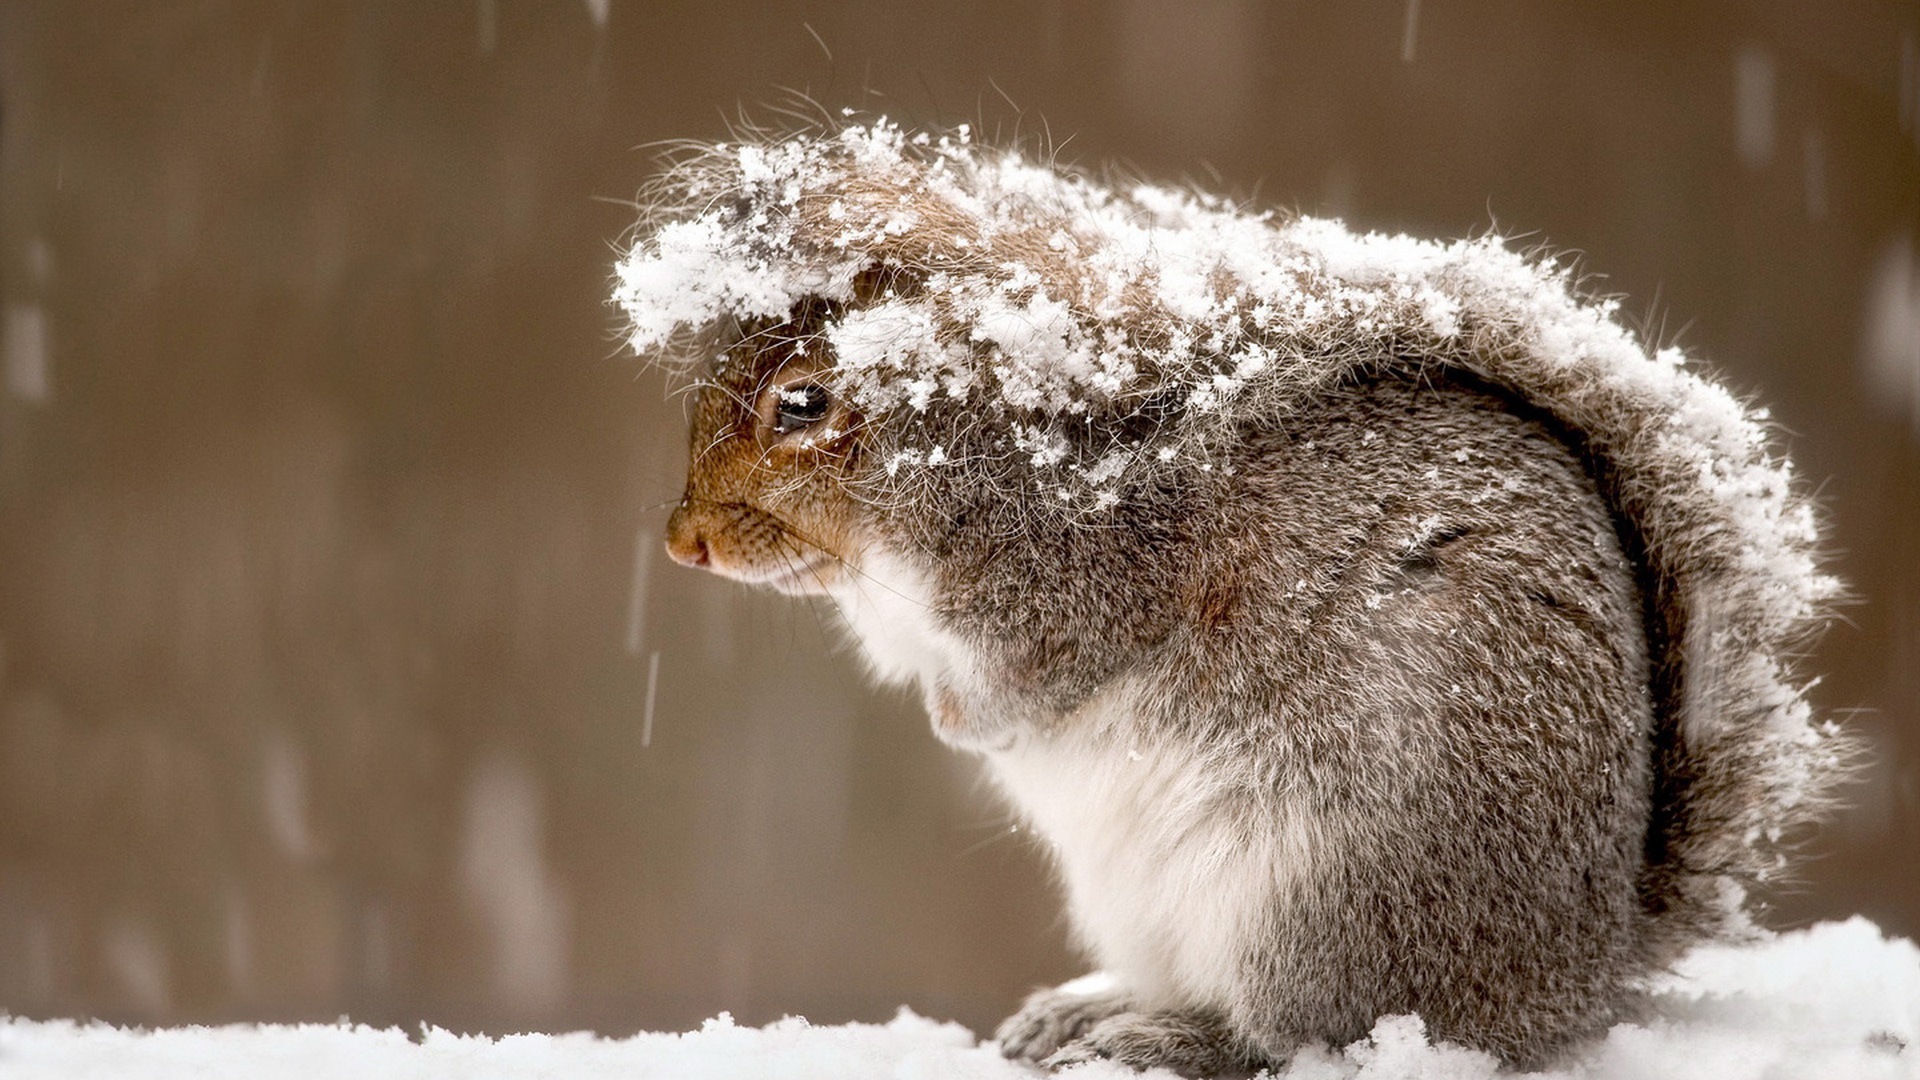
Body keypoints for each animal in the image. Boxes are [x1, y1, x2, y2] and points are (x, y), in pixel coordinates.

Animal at [610, 122, 1843, 1068]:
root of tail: (1574, 977)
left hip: (1323, 892)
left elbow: (1045, 672)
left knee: (1297, 1035)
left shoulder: (1092, 577)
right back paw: (1095, 1007)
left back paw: (1170, 1038)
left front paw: (971, 725)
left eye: (803, 404)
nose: (682, 543)